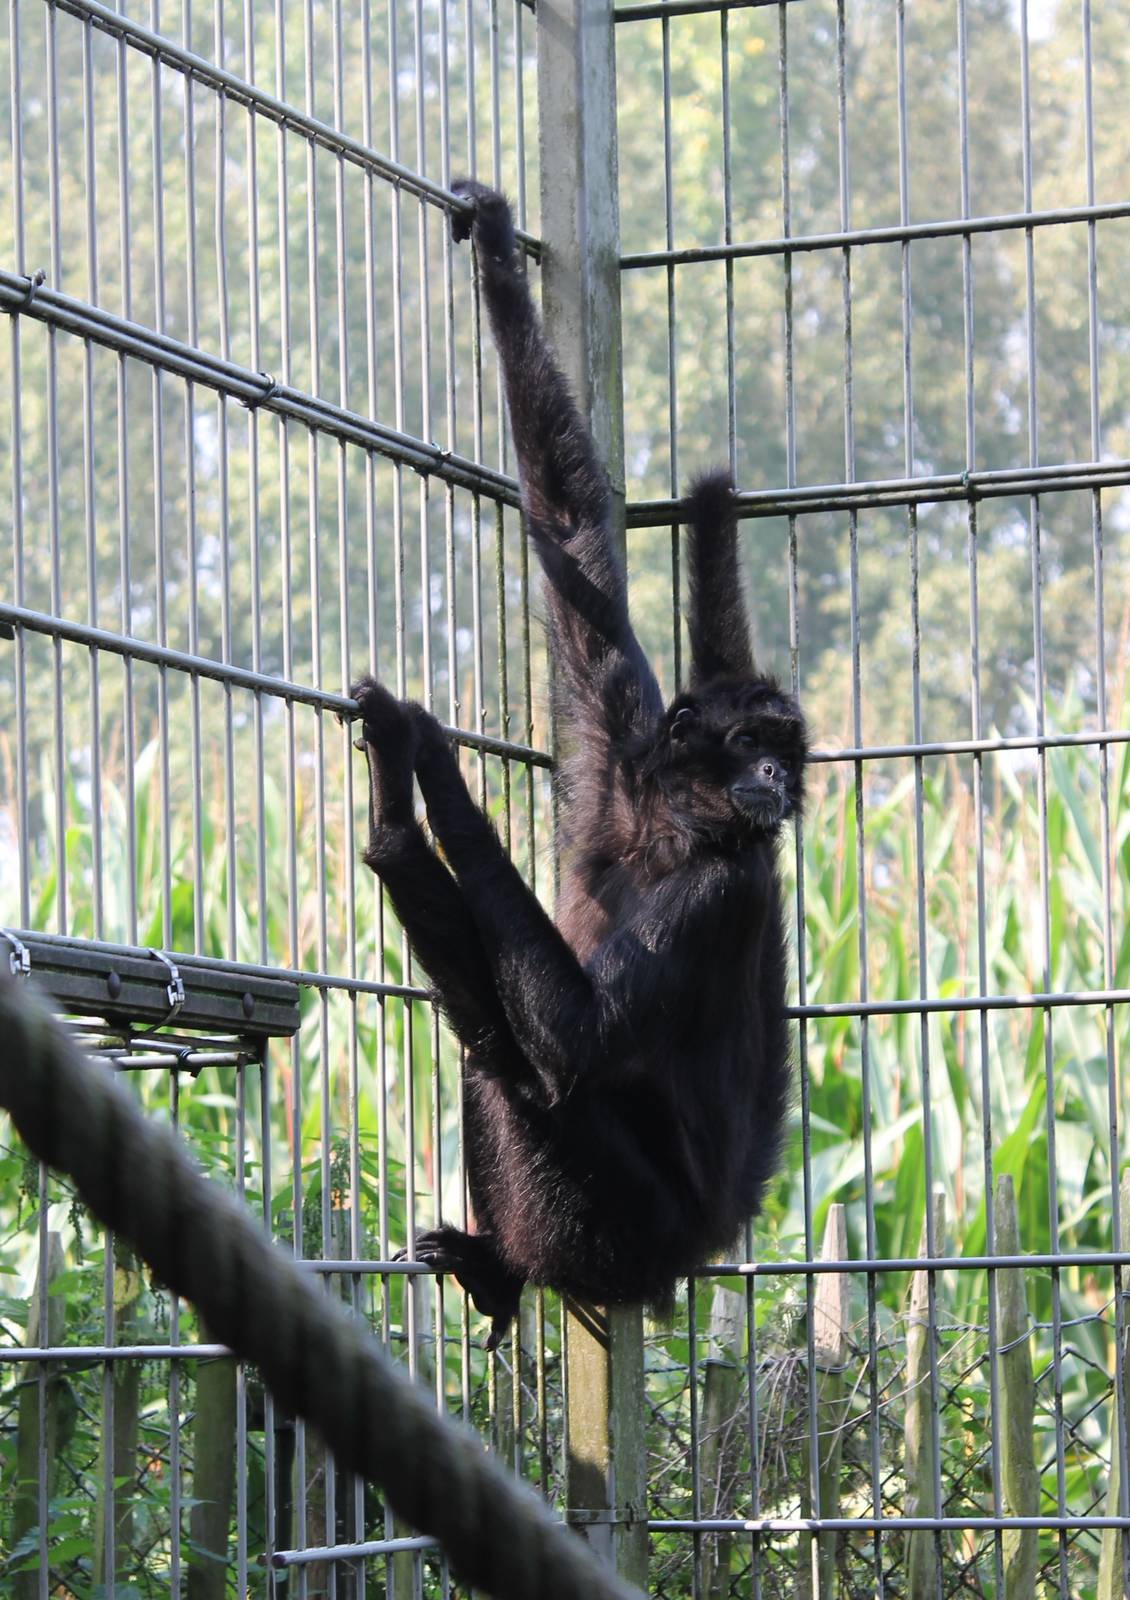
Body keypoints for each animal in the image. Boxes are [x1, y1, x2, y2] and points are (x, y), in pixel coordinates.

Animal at [351, 181, 807, 1349]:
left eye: (789, 753)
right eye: (754, 744)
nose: (780, 784)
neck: (670, 832)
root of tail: (698, 1243)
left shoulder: (728, 887)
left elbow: (581, 1036)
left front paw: (423, 773)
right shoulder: (616, 761)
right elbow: (570, 530)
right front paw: (496, 251)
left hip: (626, 1219)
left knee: (521, 1064)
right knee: (490, 1046)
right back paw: (495, 1268)